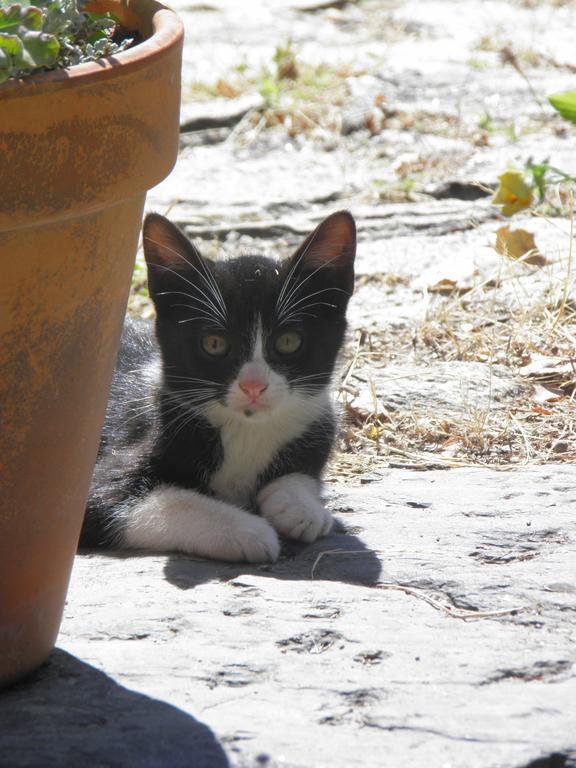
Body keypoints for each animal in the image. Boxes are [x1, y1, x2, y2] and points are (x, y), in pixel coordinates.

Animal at [80, 210, 356, 564]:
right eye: (214, 343)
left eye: (289, 341)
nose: (253, 385)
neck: (246, 430)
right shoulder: (107, 470)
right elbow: (152, 500)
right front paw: (248, 530)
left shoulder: (320, 423)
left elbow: (301, 473)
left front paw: (302, 508)